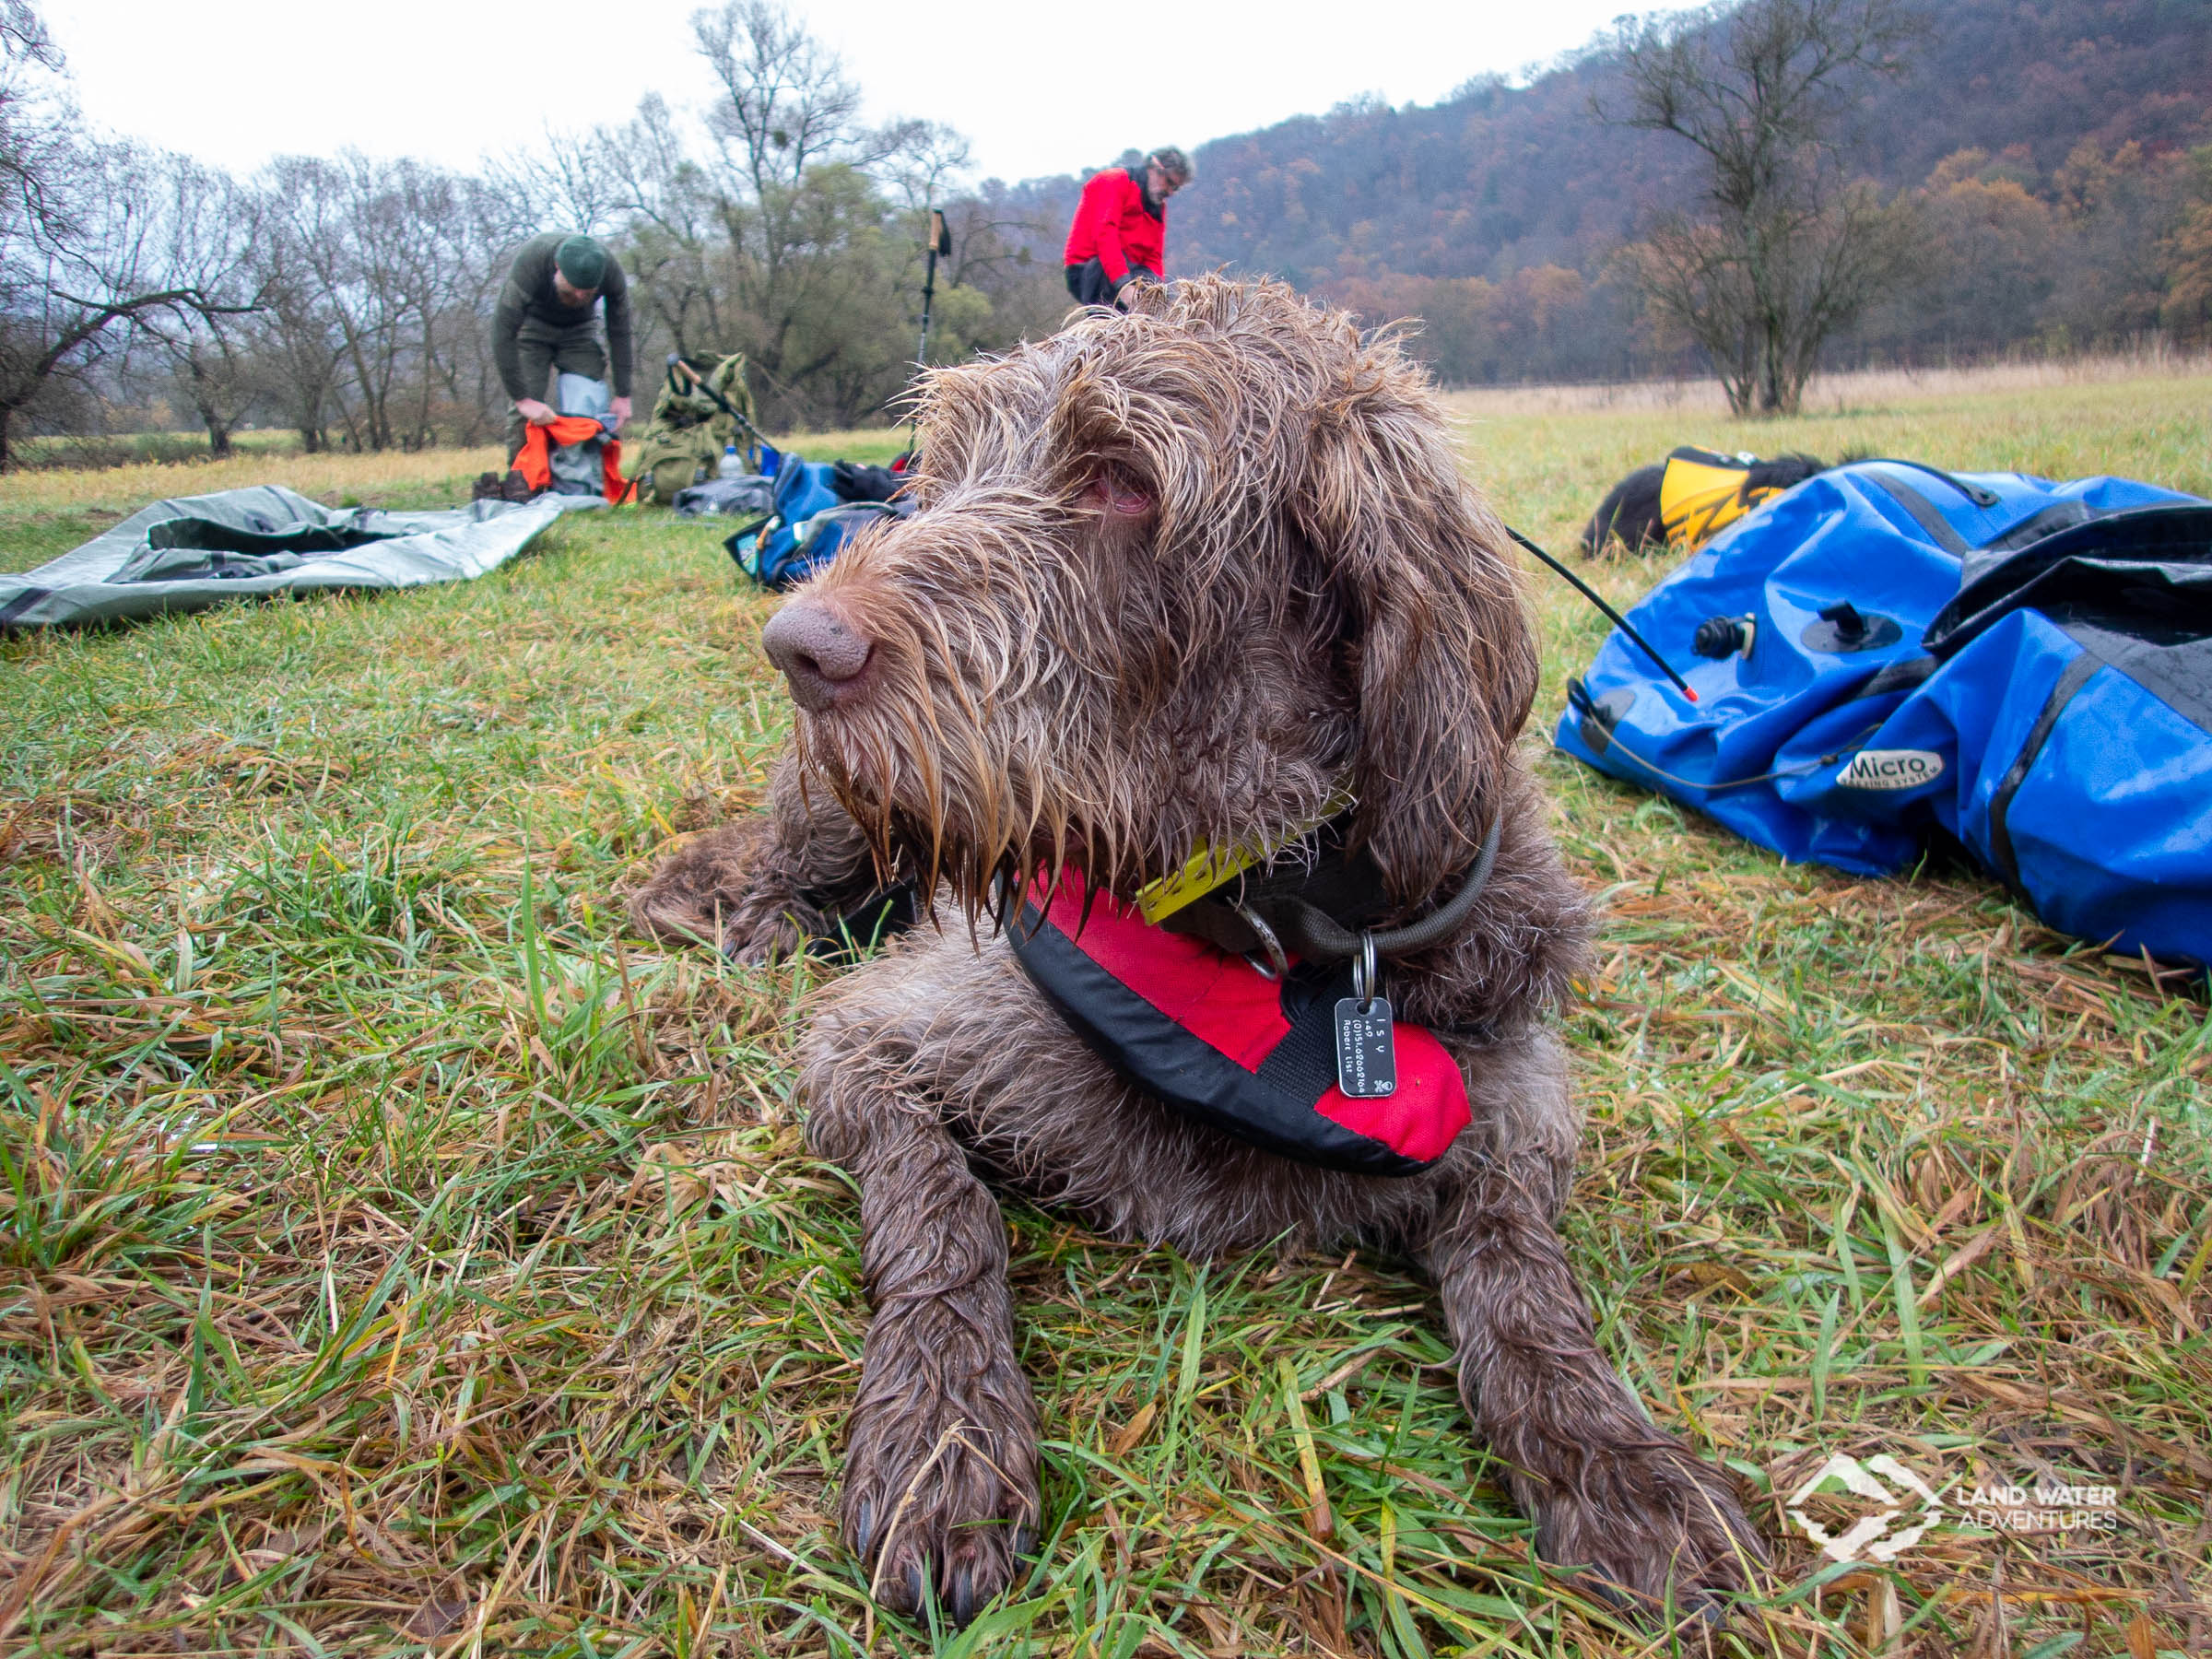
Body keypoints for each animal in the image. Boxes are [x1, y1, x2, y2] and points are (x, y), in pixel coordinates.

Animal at [637, 279, 1760, 1628]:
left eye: (1124, 478)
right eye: (945, 471)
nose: (798, 647)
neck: (1265, 930)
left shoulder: (1516, 1107)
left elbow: (1526, 1279)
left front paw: (1613, 1456)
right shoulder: (877, 1037)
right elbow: (938, 1213)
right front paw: (947, 1429)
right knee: (775, 867)